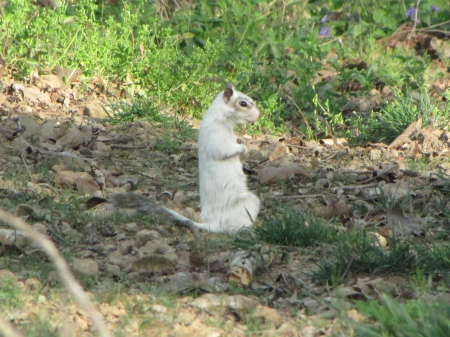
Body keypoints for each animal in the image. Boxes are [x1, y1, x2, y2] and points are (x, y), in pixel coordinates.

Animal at [107, 82, 262, 234]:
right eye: (243, 103)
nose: (258, 115)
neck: (221, 115)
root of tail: (213, 224)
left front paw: (241, 141)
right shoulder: (216, 134)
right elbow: (223, 150)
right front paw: (243, 149)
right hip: (248, 203)